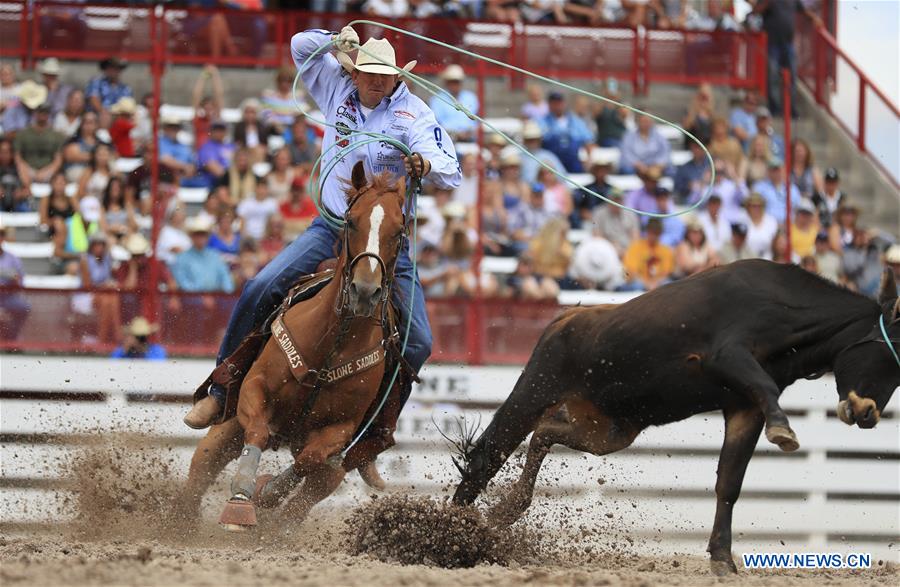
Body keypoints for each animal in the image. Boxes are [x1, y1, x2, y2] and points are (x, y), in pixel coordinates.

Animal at [182, 161, 412, 528]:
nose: (364, 291)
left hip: (335, 469)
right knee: (202, 466)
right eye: (351, 220)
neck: (332, 343)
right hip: (228, 423)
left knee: (307, 496)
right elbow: (259, 431)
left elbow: (311, 459)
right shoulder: (254, 389)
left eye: (400, 231)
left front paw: (267, 490)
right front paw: (240, 503)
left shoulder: (341, 429)